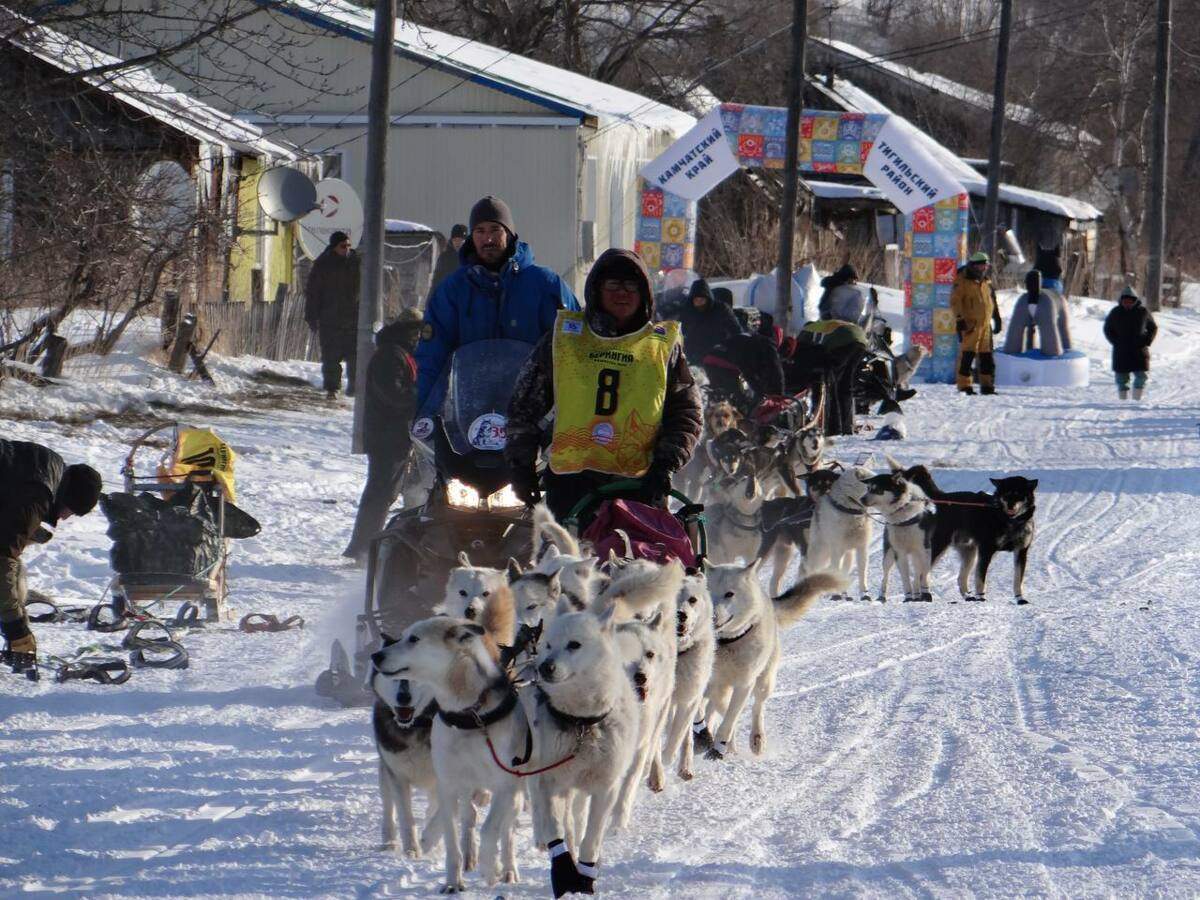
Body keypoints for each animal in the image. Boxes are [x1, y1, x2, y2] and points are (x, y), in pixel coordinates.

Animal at [372, 619, 528, 892]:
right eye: (402, 637)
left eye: (414, 639)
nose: (375, 656)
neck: (470, 716)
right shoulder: (447, 784)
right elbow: (451, 839)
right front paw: (453, 883)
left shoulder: (505, 787)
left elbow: (490, 830)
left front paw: (490, 868)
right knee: (468, 817)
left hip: (513, 795)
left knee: (506, 832)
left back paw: (507, 870)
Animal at [528, 561, 686, 897]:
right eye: (548, 645)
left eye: (574, 645)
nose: (545, 666)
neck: (582, 722)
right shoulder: (551, 782)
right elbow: (558, 830)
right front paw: (564, 871)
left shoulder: (604, 786)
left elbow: (592, 836)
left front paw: (586, 876)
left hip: (641, 746)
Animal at [696, 564, 844, 763]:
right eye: (708, 592)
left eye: (729, 594)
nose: (711, 617)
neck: (729, 643)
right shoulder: (711, 683)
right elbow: (716, 709)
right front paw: (713, 739)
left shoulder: (744, 684)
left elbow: (731, 717)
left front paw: (720, 745)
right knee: (714, 709)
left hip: (765, 681)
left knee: (757, 707)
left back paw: (756, 739)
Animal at [801, 468, 878, 602]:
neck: (851, 510)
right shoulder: (837, 549)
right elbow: (835, 571)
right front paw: (835, 595)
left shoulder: (862, 548)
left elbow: (862, 573)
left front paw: (865, 594)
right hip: (820, 552)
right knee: (812, 569)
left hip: (848, 556)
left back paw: (844, 594)